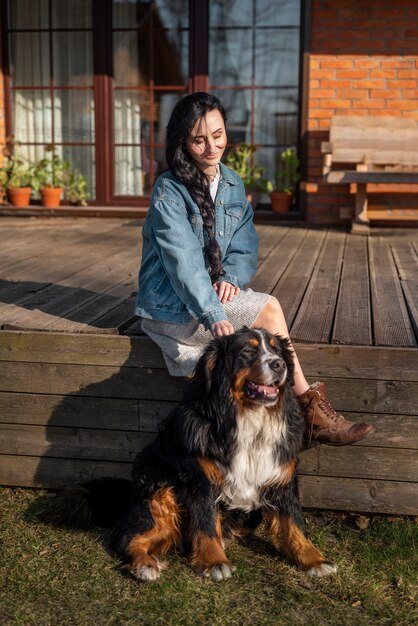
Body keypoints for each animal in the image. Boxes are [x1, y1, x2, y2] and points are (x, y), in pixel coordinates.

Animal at [39, 326, 338, 580]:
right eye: (248, 352)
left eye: (278, 351)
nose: (279, 364)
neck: (248, 417)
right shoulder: (199, 480)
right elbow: (205, 523)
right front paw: (214, 561)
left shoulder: (280, 477)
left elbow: (293, 524)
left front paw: (313, 559)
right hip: (161, 490)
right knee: (125, 537)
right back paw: (145, 565)